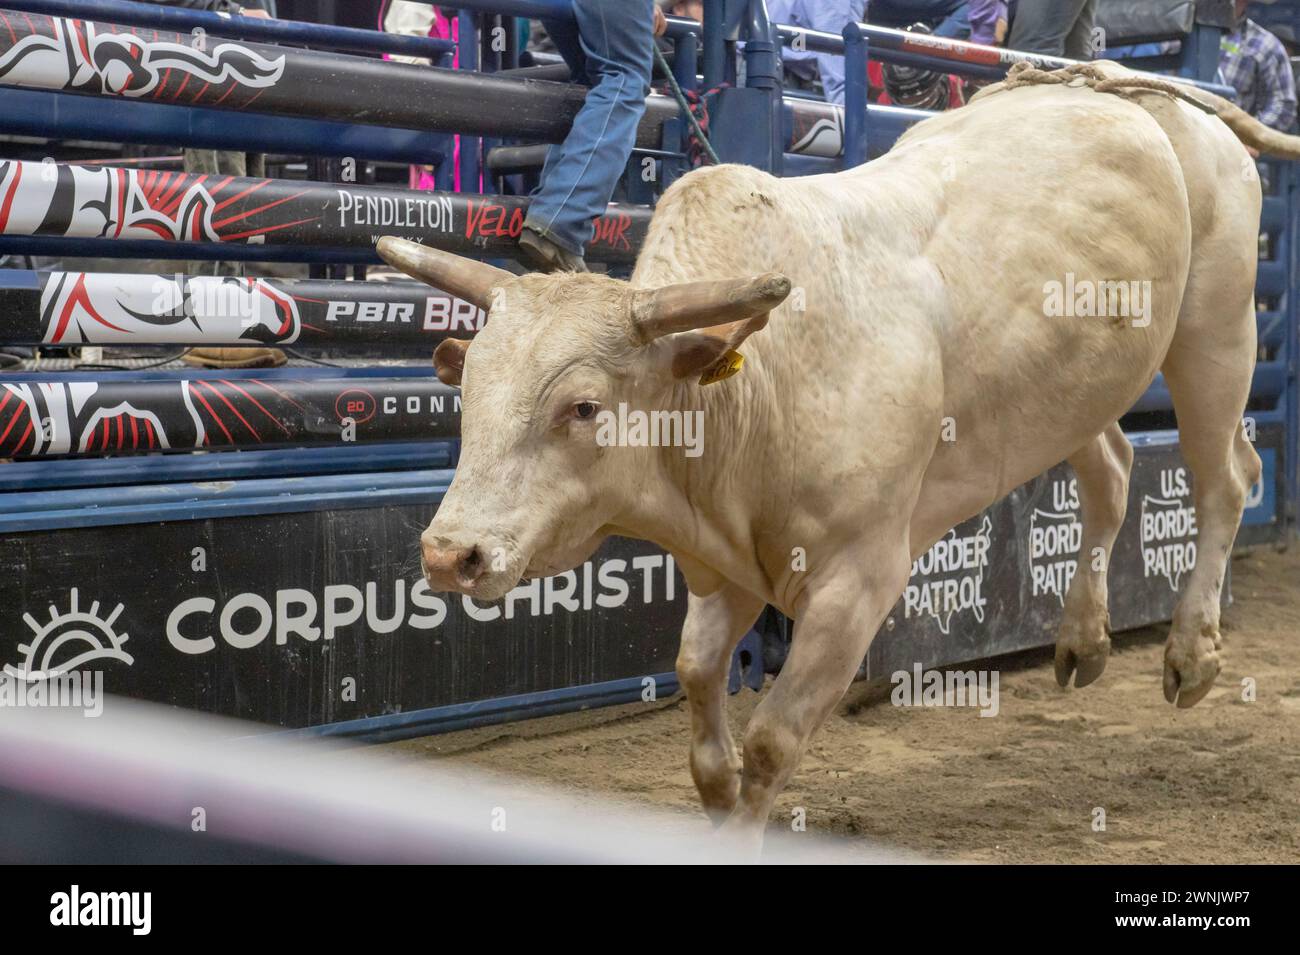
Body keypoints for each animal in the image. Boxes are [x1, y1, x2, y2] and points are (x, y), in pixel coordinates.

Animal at [377, 61, 1289, 852]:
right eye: (470, 391)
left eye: (583, 406)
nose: (451, 554)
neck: (755, 384)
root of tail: (1127, 84)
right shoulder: (728, 567)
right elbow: (702, 701)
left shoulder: (859, 581)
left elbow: (772, 741)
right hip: (1074, 389)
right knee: (1112, 471)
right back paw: (1085, 639)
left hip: (1215, 333)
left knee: (1226, 478)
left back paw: (1192, 651)